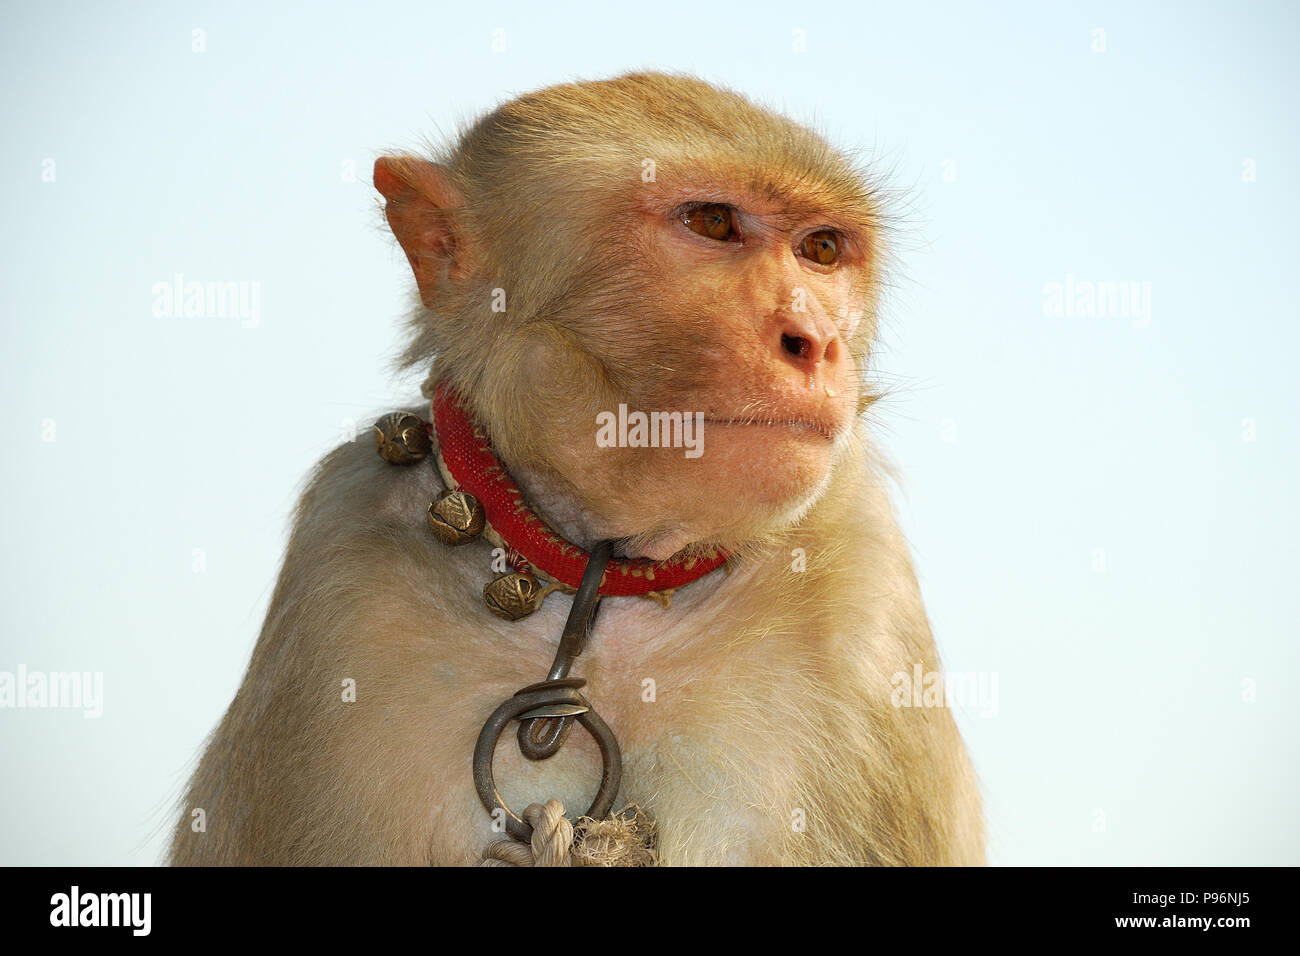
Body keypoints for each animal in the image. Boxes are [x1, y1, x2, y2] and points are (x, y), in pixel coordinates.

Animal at [172, 72, 982, 868]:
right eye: (714, 223)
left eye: (820, 247)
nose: (813, 338)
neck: (604, 580)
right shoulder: (344, 590)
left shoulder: (866, 610)